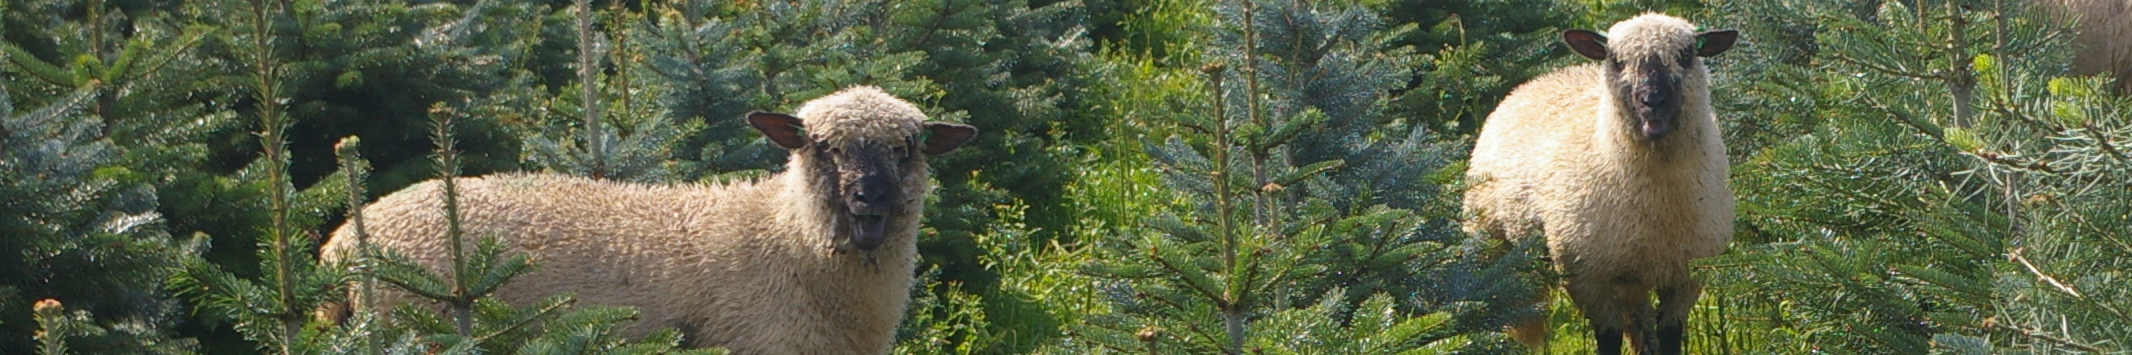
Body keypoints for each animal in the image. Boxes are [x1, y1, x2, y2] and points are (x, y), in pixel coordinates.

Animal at [1458, 13, 1739, 354]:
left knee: (1639, 326)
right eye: (1616, 59)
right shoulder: (1587, 276)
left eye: (1686, 55)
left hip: (1630, 277)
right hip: (1493, 244)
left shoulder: (1686, 275)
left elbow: (1669, 338)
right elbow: (1608, 338)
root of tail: (1546, 76)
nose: (1652, 101)